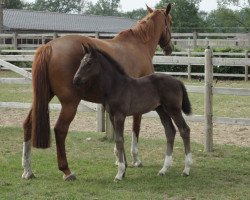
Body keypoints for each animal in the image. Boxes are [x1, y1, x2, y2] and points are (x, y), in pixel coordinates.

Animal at [22, 3, 173, 180]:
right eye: (170, 22)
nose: (169, 48)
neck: (138, 45)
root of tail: (49, 46)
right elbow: (136, 128)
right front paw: (135, 159)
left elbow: (118, 134)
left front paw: (119, 159)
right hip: (70, 103)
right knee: (60, 130)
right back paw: (66, 171)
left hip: (43, 97)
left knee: (28, 124)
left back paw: (28, 170)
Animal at [73, 45, 192, 181]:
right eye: (81, 62)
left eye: (89, 62)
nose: (75, 79)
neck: (116, 86)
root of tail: (178, 82)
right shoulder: (112, 115)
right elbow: (119, 139)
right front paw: (123, 170)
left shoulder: (120, 115)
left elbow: (119, 139)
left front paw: (119, 173)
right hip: (162, 110)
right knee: (170, 132)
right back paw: (163, 169)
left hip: (173, 109)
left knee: (184, 130)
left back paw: (186, 169)